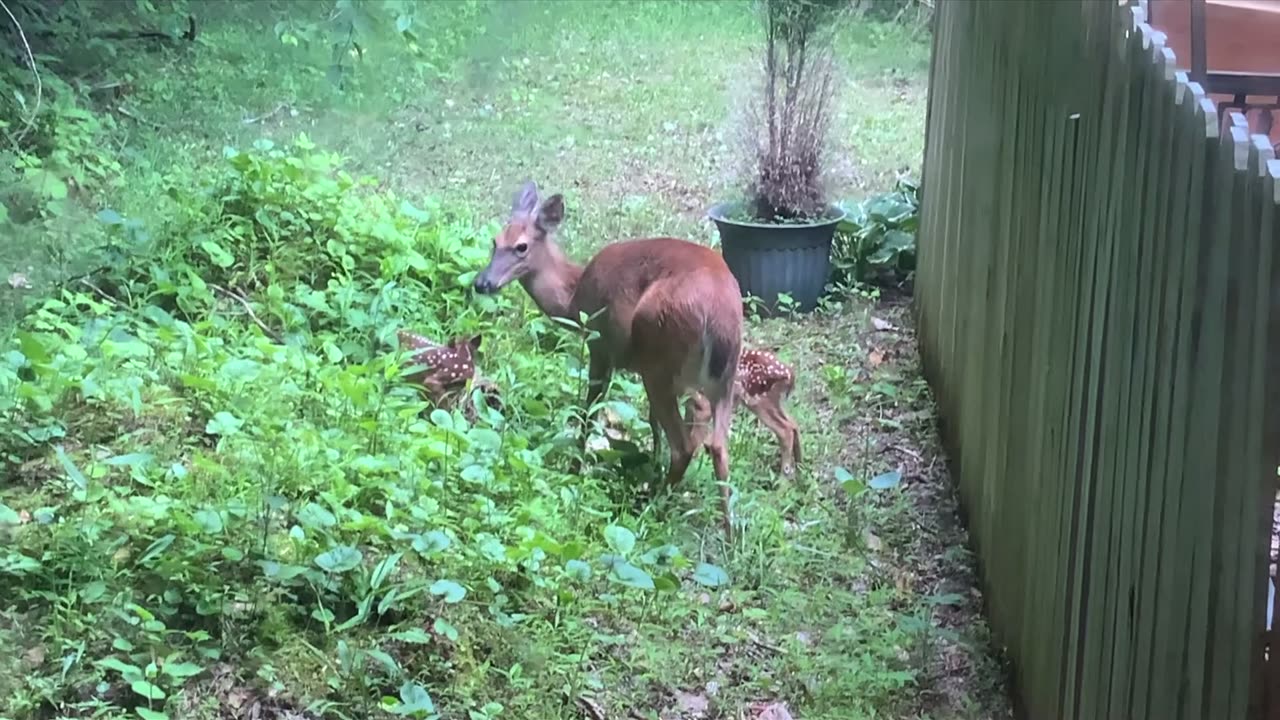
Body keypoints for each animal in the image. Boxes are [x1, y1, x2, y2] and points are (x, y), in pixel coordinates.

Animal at [473, 181, 747, 535]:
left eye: (521, 247)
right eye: (494, 241)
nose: (482, 283)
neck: (573, 298)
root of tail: (719, 317)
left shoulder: (601, 347)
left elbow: (589, 412)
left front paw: (574, 469)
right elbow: (651, 422)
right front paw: (650, 465)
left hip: (659, 356)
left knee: (686, 443)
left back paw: (653, 509)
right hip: (722, 374)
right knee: (717, 443)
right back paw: (728, 531)